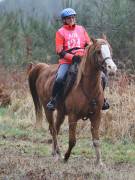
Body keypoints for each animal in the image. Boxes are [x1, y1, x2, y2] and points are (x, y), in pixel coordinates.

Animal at [28, 36, 117, 165]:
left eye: (110, 49)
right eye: (98, 52)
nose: (112, 68)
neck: (87, 87)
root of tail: (44, 68)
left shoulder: (96, 116)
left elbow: (96, 140)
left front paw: (99, 162)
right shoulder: (73, 116)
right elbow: (72, 140)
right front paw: (66, 157)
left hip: (60, 113)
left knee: (55, 128)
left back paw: (55, 153)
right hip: (47, 109)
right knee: (53, 129)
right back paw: (58, 154)